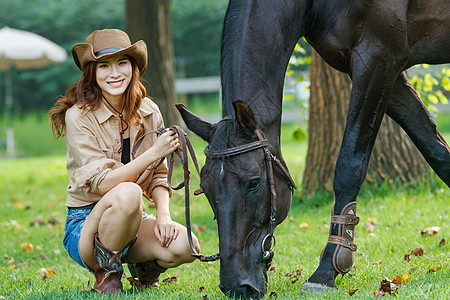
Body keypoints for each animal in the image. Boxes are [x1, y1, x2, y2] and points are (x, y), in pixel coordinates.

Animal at [176, 1, 450, 298]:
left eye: (253, 183)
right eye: (205, 188)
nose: (237, 285)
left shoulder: (377, 60)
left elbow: (349, 165)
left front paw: (326, 271)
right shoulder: (391, 73)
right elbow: (437, 151)